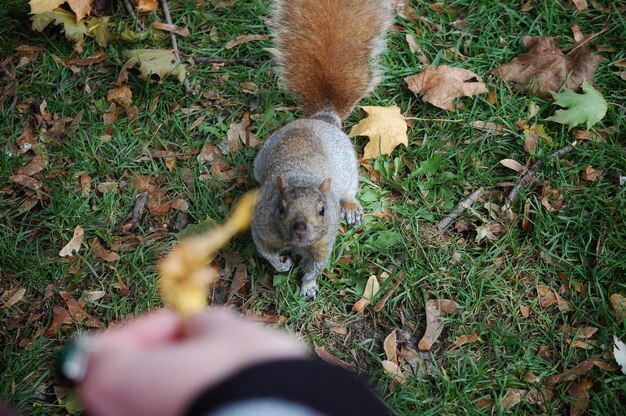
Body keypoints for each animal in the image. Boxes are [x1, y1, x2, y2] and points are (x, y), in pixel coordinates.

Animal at [250, 0, 390, 300]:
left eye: (323, 209)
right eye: (281, 207)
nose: (301, 229)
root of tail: (322, 120)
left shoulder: (324, 242)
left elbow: (316, 266)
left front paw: (308, 287)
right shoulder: (261, 226)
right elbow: (266, 251)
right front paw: (281, 264)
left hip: (350, 174)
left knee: (350, 193)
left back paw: (351, 208)